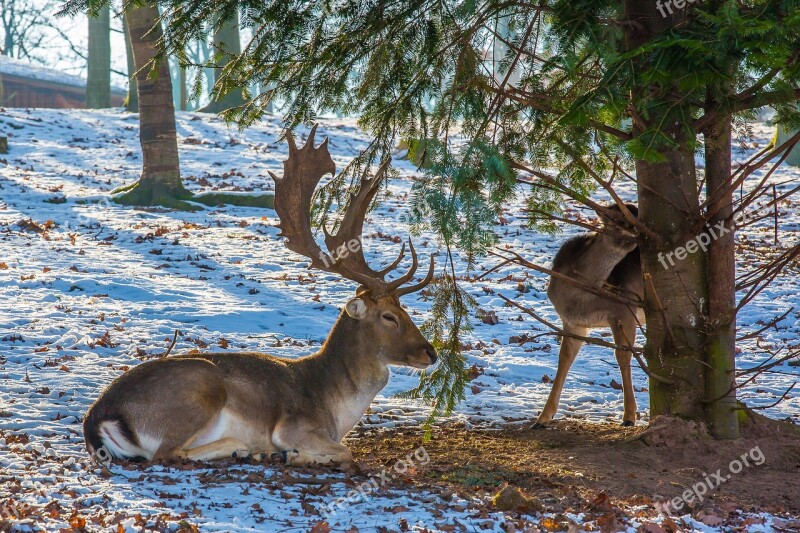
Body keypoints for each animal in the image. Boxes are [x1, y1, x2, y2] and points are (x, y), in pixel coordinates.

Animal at [83, 127, 438, 464]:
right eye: (389, 316)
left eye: (404, 308)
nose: (431, 353)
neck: (336, 410)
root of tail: (97, 418)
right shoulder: (295, 425)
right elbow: (345, 451)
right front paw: (295, 456)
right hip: (199, 390)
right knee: (166, 453)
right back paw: (252, 450)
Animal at [536, 202, 644, 426]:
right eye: (620, 219)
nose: (641, 232)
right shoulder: (573, 322)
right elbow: (564, 358)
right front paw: (542, 418)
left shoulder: (625, 310)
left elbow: (622, 356)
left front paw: (629, 417)